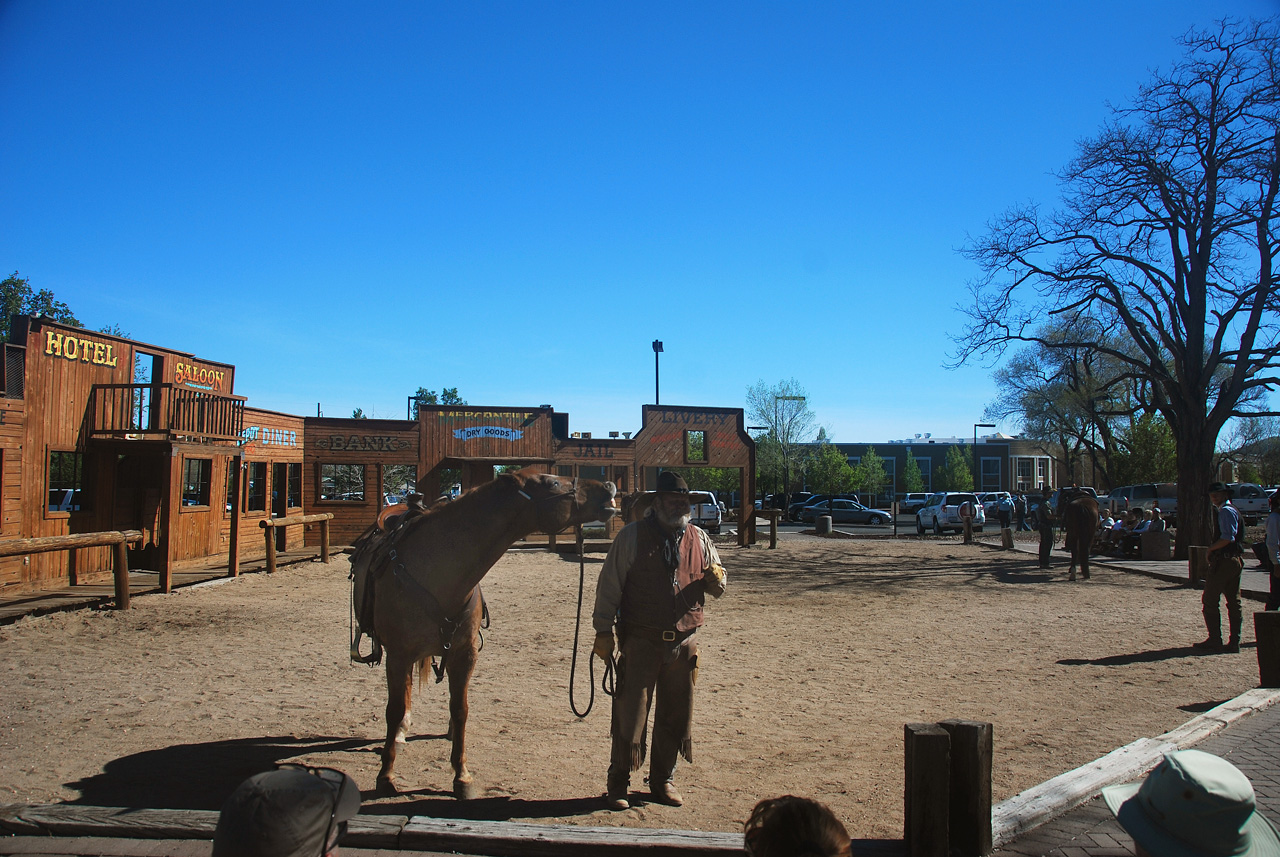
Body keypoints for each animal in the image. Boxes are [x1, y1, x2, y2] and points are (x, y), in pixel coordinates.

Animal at [345, 470, 614, 798]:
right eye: (552, 483)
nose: (609, 487)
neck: (436, 573)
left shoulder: (464, 654)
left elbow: (461, 709)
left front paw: (461, 776)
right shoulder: (397, 654)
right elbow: (393, 710)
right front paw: (386, 775)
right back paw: (399, 734)